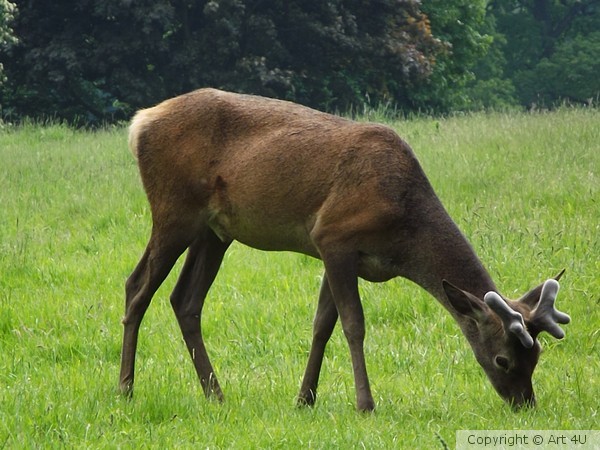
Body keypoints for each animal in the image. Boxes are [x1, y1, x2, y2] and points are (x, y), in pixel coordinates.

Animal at [118, 88, 572, 412]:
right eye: (503, 360)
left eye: (537, 356)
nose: (525, 405)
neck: (403, 231)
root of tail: (140, 123)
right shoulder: (334, 235)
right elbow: (354, 325)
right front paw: (365, 403)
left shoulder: (338, 253)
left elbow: (322, 324)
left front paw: (305, 399)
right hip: (174, 210)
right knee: (137, 286)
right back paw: (126, 390)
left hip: (215, 231)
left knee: (184, 300)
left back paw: (215, 393)